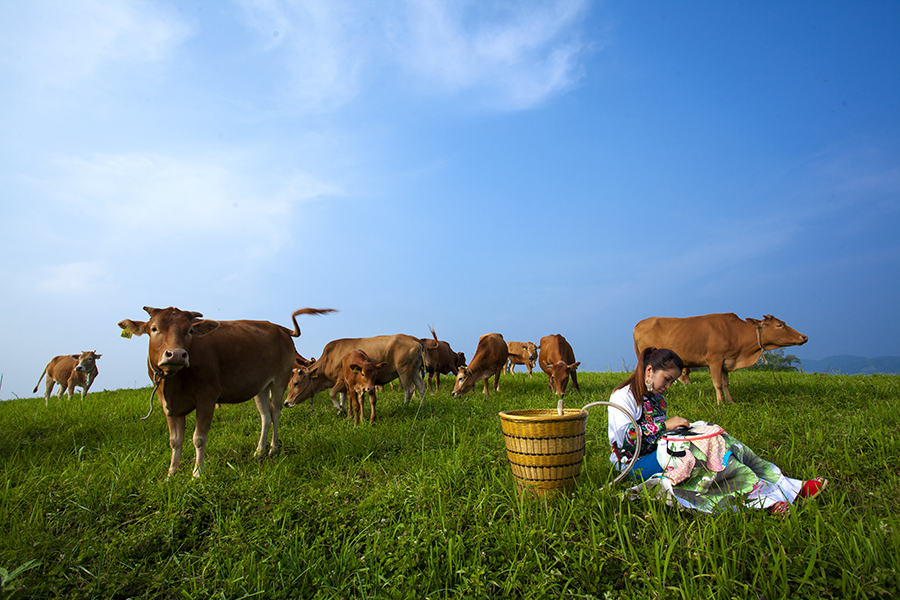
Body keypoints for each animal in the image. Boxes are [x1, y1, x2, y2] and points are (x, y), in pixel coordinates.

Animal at [116, 308, 334, 476]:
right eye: (154, 329)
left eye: (189, 330)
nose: (176, 354)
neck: (174, 383)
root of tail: (279, 327)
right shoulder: (168, 406)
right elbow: (175, 441)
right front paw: (171, 474)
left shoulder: (206, 398)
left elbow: (198, 438)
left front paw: (197, 473)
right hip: (261, 387)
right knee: (266, 416)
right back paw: (259, 451)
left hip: (279, 380)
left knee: (276, 413)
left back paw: (273, 448)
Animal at [288, 332, 428, 412]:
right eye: (288, 384)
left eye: (296, 383)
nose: (286, 402)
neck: (329, 358)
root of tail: (412, 338)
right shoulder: (345, 384)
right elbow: (342, 397)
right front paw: (341, 410)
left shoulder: (340, 380)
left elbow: (332, 393)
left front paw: (338, 408)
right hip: (414, 370)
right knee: (421, 386)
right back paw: (422, 406)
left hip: (404, 370)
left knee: (409, 389)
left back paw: (404, 407)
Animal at [632, 314, 808, 404]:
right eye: (779, 325)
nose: (804, 336)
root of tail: (639, 324)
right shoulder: (714, 359)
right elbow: (716, 383)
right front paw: (720, 403)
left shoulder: (726, 361)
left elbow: (725, 383)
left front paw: (731, 402)